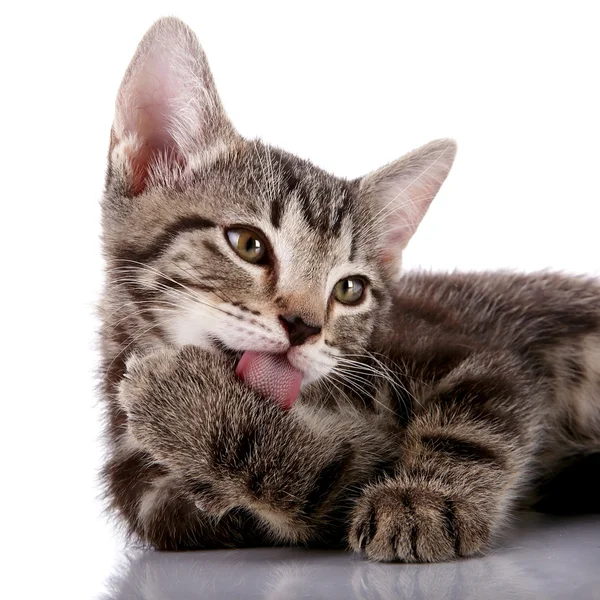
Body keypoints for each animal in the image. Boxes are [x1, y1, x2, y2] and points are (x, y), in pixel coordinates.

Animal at [99, 18, 600, 564]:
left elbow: (472, 427)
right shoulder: (164, 503)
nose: (303, 327)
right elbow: (330, 476)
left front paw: (421, 499)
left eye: (350, 289)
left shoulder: (480, 357)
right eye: (248, 244)